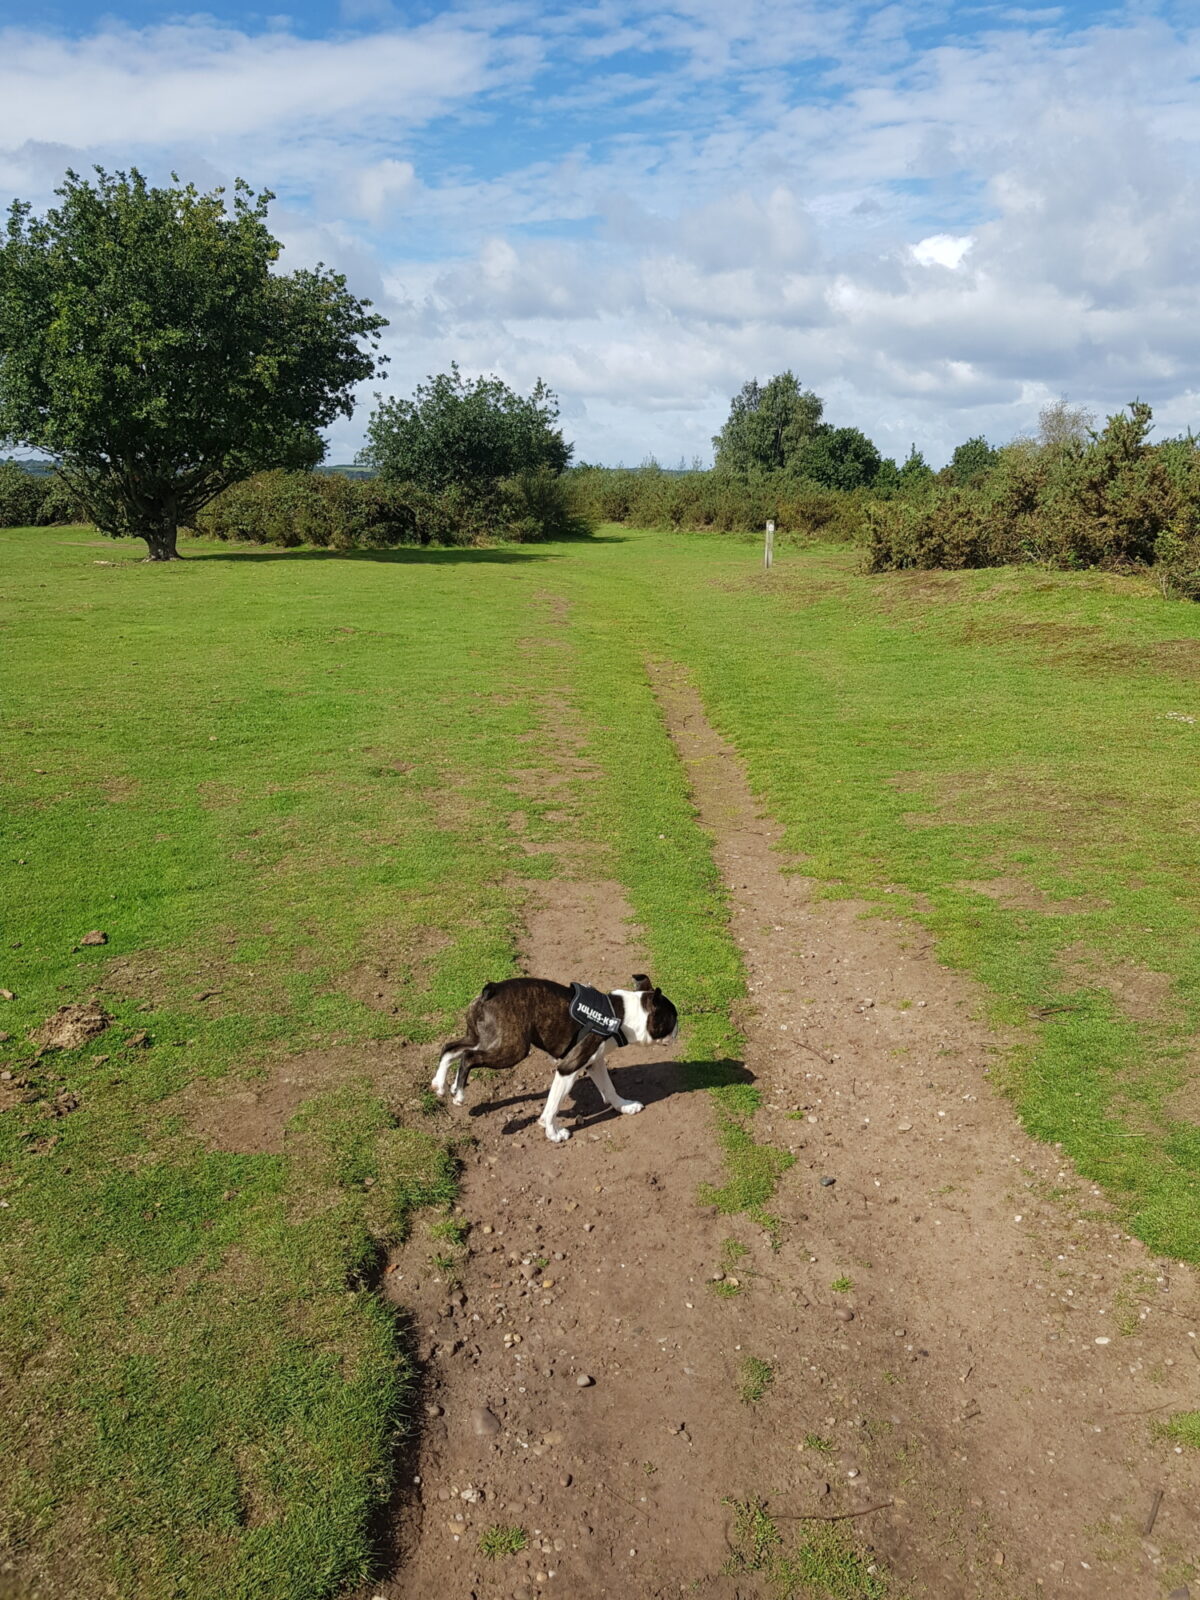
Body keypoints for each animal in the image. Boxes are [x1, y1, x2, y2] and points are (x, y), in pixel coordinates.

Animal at [432, 972, 681, 1139]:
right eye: (673, 1017)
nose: (679, 1028)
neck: (622, 1016)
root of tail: (491, 989)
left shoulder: (594, 1062)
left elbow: (609, 1088)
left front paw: (625, 1106)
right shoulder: (568, 1068)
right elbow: (553, 1105)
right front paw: (553, 1132)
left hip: (479, 1037)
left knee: (451, 1048)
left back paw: (441, 1084)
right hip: (513, 1049)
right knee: (468, 1057)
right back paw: (459, 1093)